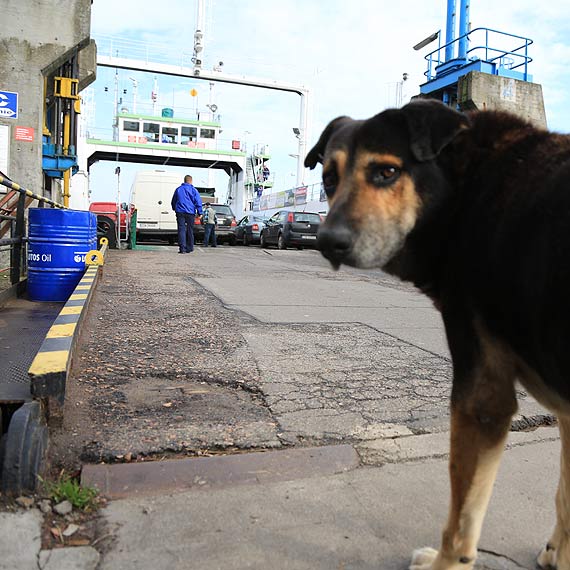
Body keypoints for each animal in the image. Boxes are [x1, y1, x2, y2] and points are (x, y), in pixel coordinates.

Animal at [306, 98, 570, 568]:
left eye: (387, 172)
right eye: (329, 179)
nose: (327, 242)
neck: (463, 188)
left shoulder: (482, 400)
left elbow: (462, 517)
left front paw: (443, 562)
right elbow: (564, 498)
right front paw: (558, 552)